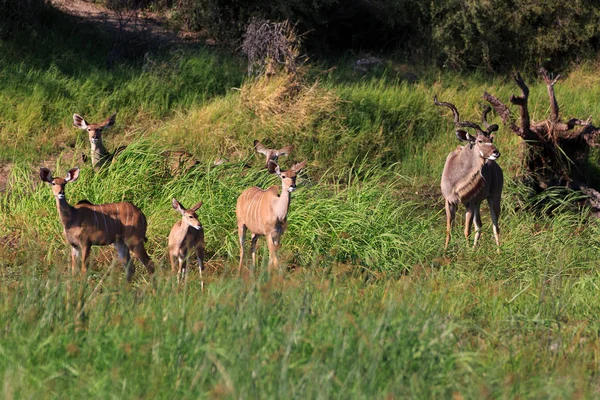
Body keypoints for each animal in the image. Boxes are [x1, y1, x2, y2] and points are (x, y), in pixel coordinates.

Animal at [434, 95, 504, 248]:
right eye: (479, 140)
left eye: (490, 139)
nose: (496, 153)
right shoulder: (449, 202)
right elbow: (449, 230)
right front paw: (445, 251)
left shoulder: (469, 203)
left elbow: (467, 231)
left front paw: (466, 252)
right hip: (478, 203)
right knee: (480, 226)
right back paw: (474, 249)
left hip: (494, 198)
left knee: (495, 226)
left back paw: (498, 250)